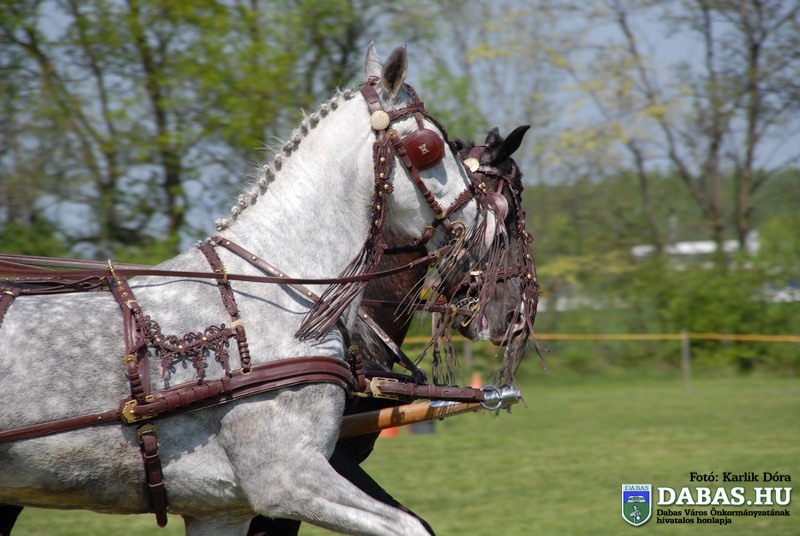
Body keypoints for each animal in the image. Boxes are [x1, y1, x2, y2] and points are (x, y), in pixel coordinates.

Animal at [0, 43, 525, 536]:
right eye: (429, 147)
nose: (488, 229)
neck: (282, 294)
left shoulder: (222, 510)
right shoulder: (286, 479)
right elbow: (410, 526)